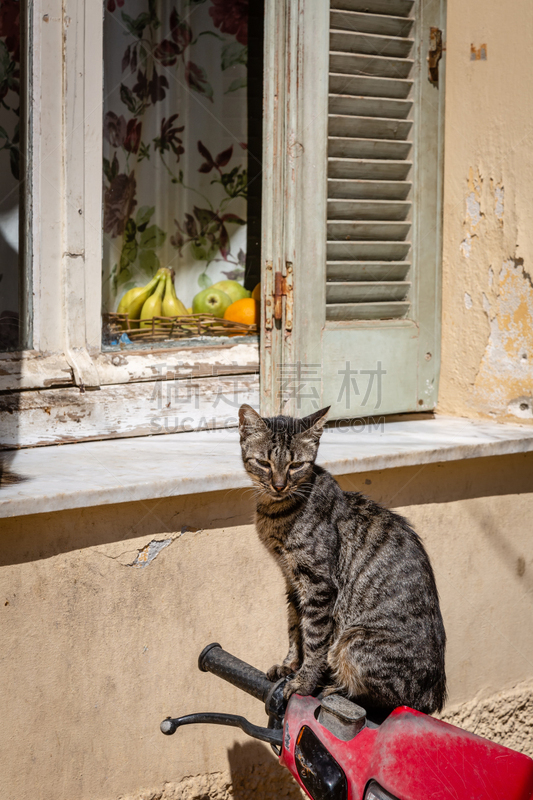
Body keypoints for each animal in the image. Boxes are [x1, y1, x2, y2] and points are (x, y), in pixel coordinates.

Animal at [237, 406, 444, 712]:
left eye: (296, 465)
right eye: (264, 462)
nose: (279, 485)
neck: (275, 513)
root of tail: (434, 696)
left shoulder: (319, 584)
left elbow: (313, 638)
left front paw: (304, 682)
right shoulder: (292, 582)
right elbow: (294, 628)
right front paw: (290, 665)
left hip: (353, 641)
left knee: (390, 700)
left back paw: (336, 686)